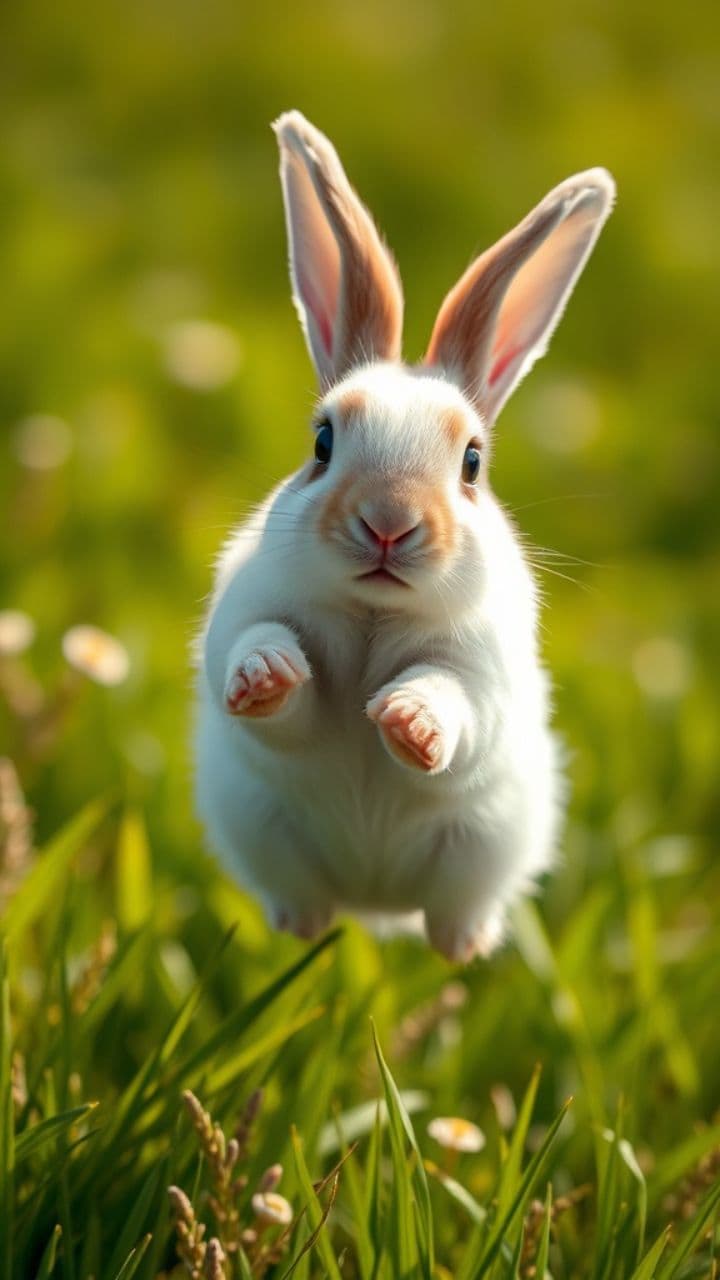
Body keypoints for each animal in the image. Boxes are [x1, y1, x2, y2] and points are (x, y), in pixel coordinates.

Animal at [194, 110, 615, 963]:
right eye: (322, 442)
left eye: (472, 462)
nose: (388, 522)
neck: (374, 612)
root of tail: (374, 907)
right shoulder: (250, 620)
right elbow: (266, 671)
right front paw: (266, 673)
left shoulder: (479, 674)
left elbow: (453, 705)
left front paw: (407, 721)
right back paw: (304, 926)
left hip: (483, 854)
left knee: (457, 915)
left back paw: (462, 945)